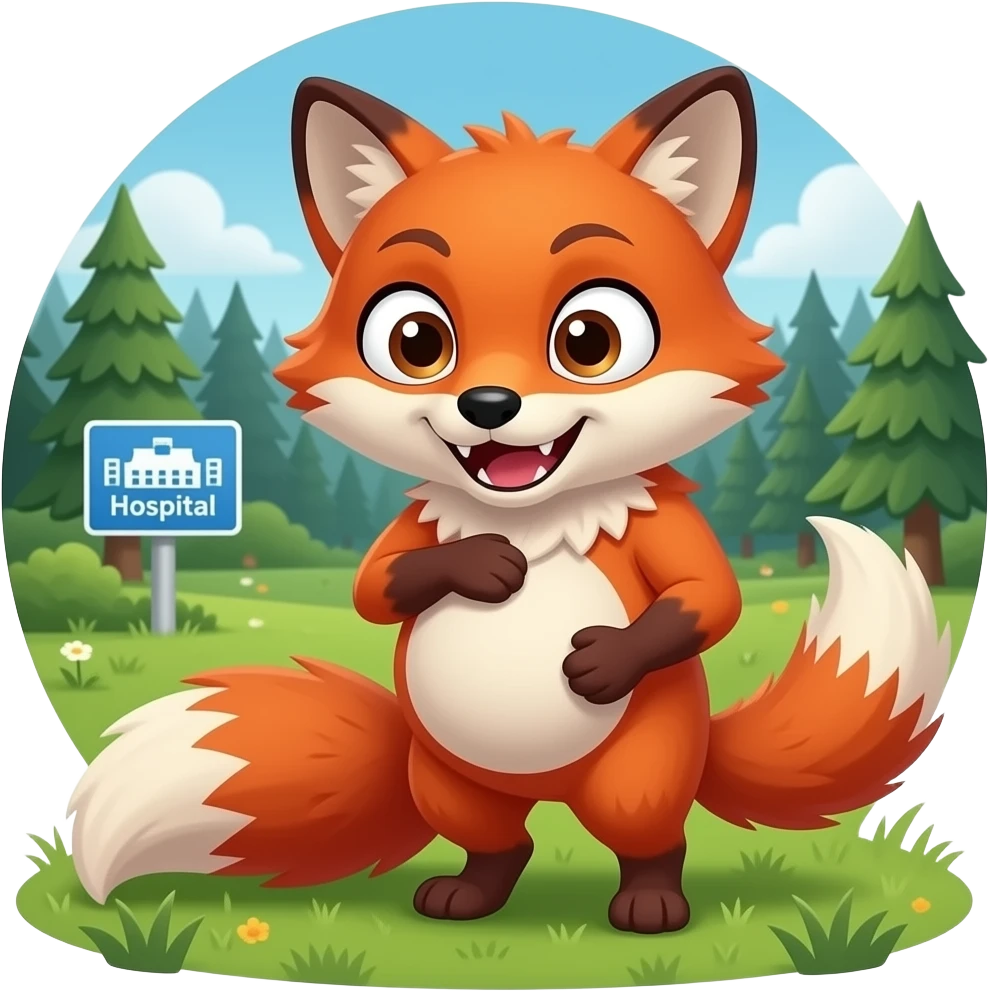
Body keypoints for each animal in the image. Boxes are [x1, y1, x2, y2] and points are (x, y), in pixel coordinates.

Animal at [66, 68, 952, 935]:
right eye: (415, 340)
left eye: (588, 339)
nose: (487, 402)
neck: (532, 512)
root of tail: (551, 789)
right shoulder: (416, 527)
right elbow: (376, 585)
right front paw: (480, 562)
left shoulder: (666, 534)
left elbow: (706, 597)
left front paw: (603, 659)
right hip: (447, 777)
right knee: (502, 842)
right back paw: (468, 893)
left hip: (642, 768)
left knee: (648, 834)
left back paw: (651, 904)